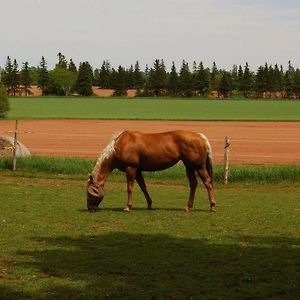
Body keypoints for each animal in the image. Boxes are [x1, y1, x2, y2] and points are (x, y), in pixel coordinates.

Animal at [86, 130, 216, 212]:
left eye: (89, 192)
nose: (90, 208)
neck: (120, 146)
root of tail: (201, 137)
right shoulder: (138, 171)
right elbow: (143, 187)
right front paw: (149, 204)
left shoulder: (131, 169)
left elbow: (130, 188)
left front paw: (127, 207)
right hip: (189, 167)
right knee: (193, 184)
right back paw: (188, 207)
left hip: (199, 167)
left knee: (208, 183)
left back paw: (212, 206)